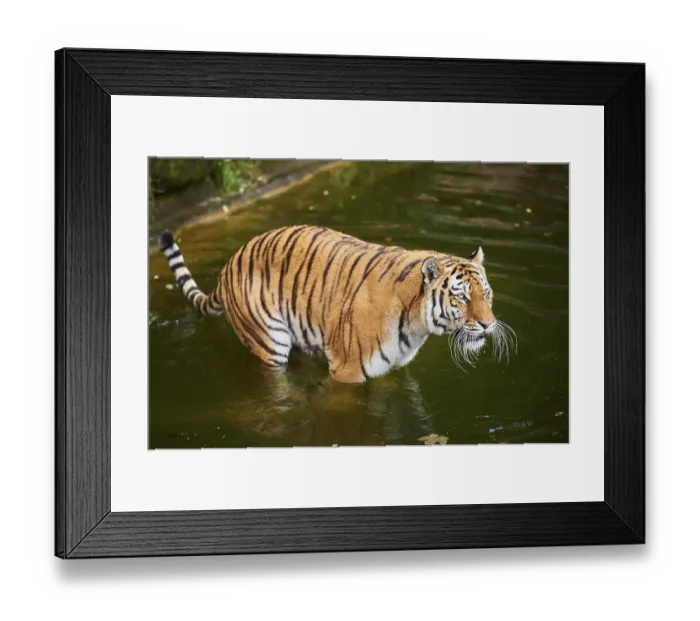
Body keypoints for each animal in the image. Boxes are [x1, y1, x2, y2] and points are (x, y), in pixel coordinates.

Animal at [159, 225, 514, 383]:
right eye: (461, 296)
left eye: (486, 294)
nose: (488, 324)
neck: (416, 325)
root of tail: (229, 264)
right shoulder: (347, 372)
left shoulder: (391, 369)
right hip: (268, 341)